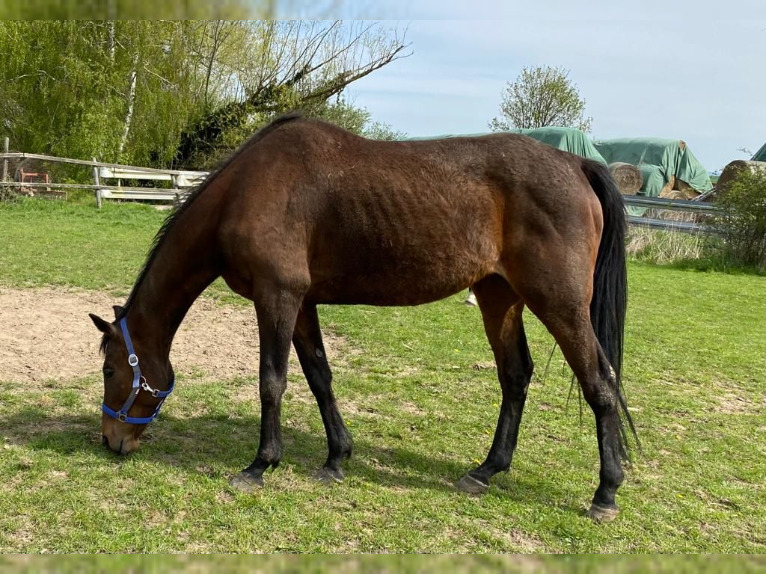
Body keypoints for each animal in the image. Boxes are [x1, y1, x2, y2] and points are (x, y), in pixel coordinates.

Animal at [90, 112, 636, 522]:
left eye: (110, 370)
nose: (111, 440)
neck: (245, 189)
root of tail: (576, 162)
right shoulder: (302, 303)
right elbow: (319, 377)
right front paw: (336, 458)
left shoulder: (277, 297)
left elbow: (272, 382)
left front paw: (260, 465)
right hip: (499, 296)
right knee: (516, 376)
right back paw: (485, 470)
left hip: (560, 305)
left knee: (600, 383)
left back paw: (605, 494)